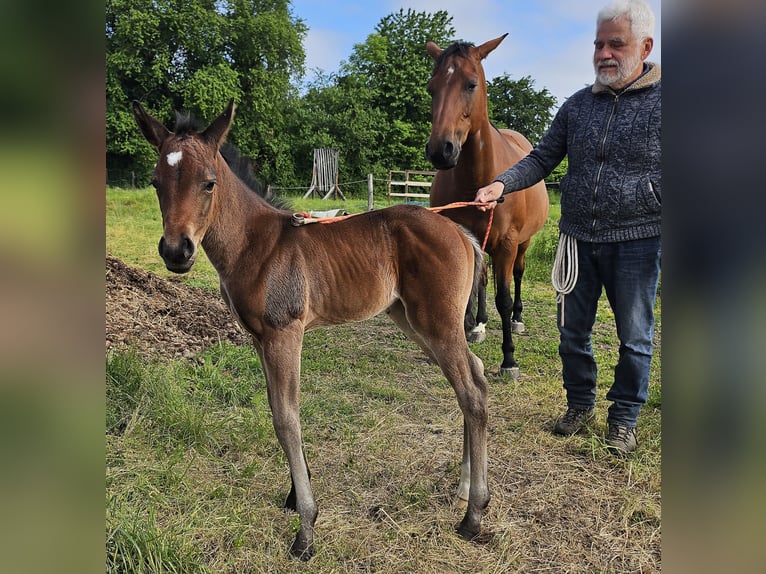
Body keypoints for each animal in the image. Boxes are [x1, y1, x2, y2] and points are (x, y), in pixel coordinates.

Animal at [131, 99, 491, 560]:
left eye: (209, 183)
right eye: (156, 183)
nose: (176, 251)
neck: (255, 244)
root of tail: (462, 233)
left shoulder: (284, 333)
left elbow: (287, 419)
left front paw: (306, 529)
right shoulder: (259, 339)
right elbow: (276, 410)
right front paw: (292, 497)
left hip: (437, 323)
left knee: (472, 393)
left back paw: (473, 515)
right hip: (413, 322)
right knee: (475, 376)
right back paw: (463, 489)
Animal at [425, 34, 550, 378]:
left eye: (471, 84)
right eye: (431, 88)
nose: (441, 150)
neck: (476, 180)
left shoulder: (507, 244)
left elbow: (503, 298)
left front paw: (509, 360)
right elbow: (468, 289)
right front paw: (468, 331)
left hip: (523, 243)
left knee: (517, 275)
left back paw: (518, 321)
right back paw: (479, 325)